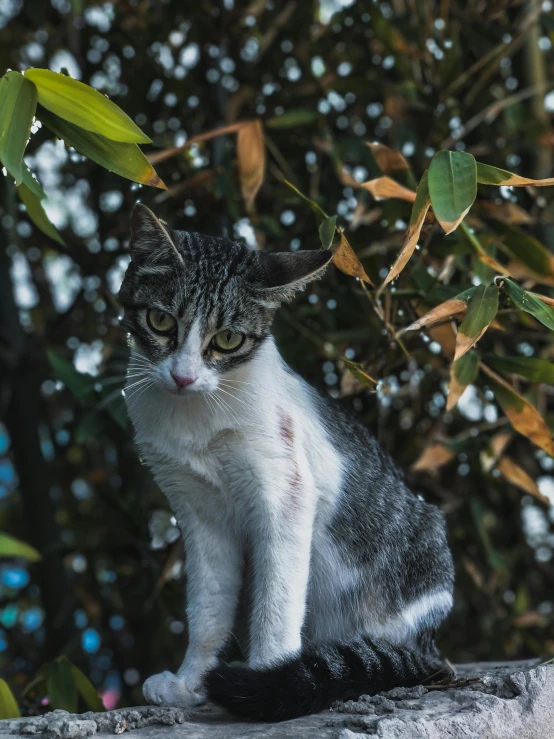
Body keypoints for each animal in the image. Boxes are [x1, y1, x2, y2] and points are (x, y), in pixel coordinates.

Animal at [118, 202, 450, 724]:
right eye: (160, 320)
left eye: (227, 338)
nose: (184, 376)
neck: (199, 417)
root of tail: (431, 651)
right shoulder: (198, 512)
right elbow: (207, 609)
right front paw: (190, 684)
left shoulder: (286, 494)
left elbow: (276, 602)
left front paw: (269, 683)